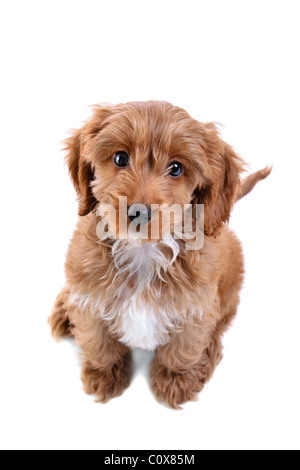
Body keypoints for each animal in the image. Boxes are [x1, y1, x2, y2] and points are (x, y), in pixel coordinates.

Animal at [48, 100, 270, 408]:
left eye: (176, 168)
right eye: (120, 158)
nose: (138, 212)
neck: (142, 252)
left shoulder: (197, 307)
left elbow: (183, 348)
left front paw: (175, 381)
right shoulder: (89, 293)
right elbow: (98, 341)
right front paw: (105, 374)